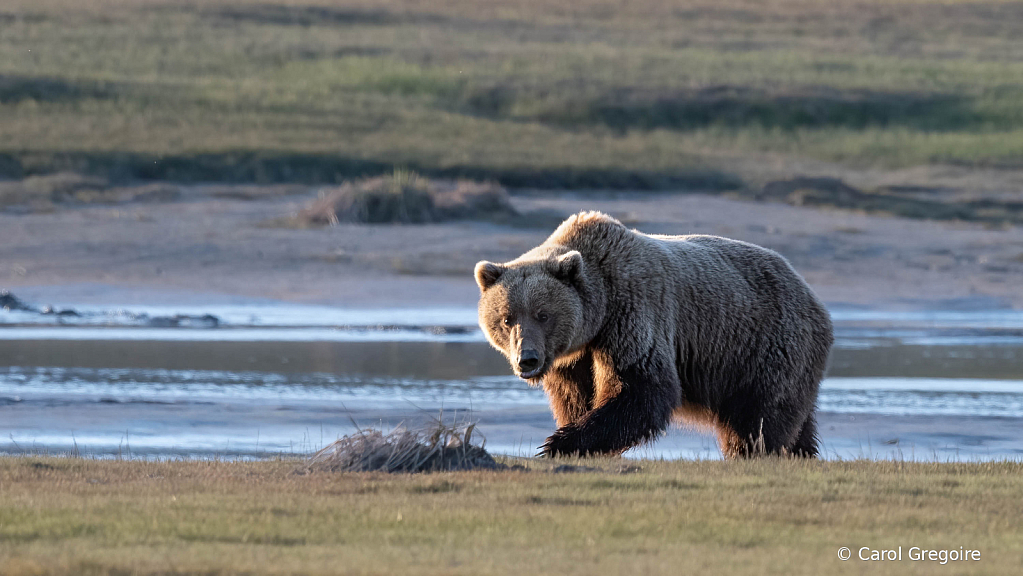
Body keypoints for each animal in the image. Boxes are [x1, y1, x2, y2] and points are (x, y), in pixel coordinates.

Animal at [474, 211, 834, 460]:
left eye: (543, 314)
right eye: (506, 318)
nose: (527, 360)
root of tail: (809, 291)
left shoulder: (632, 314)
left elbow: (641, 387)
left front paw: (558, 443)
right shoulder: (573, 358)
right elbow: (574, 395)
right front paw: (568, 430)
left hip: (764, 343)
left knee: (759, 415)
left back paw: (750, 451)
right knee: (798, 420)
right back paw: (802, 453)